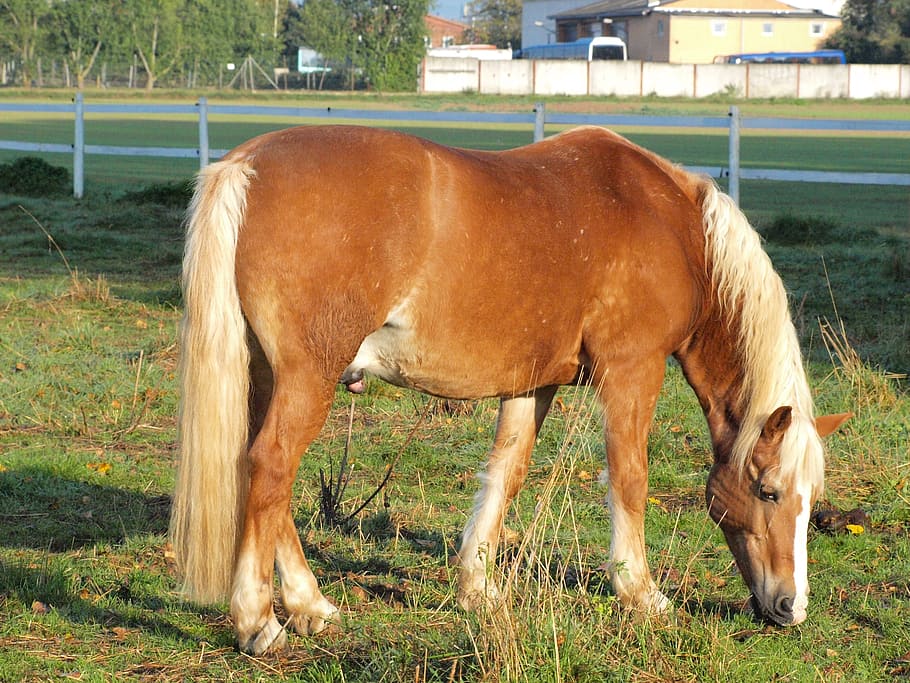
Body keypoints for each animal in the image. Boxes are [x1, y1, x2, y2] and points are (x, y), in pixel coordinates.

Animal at [169, 124, 851, 654]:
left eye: (811, 501)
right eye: (768, 491)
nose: (791, 607)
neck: (670, 224)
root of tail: (246, 164)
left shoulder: (532, 384)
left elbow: (505, 473)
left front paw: (476, 587)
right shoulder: (632, 371)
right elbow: (628, 478)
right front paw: (640, 593)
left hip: (269, 376)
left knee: (263, 478)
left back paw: (311, 605)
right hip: (308, 376)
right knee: (270, 467)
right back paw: (259, 620)